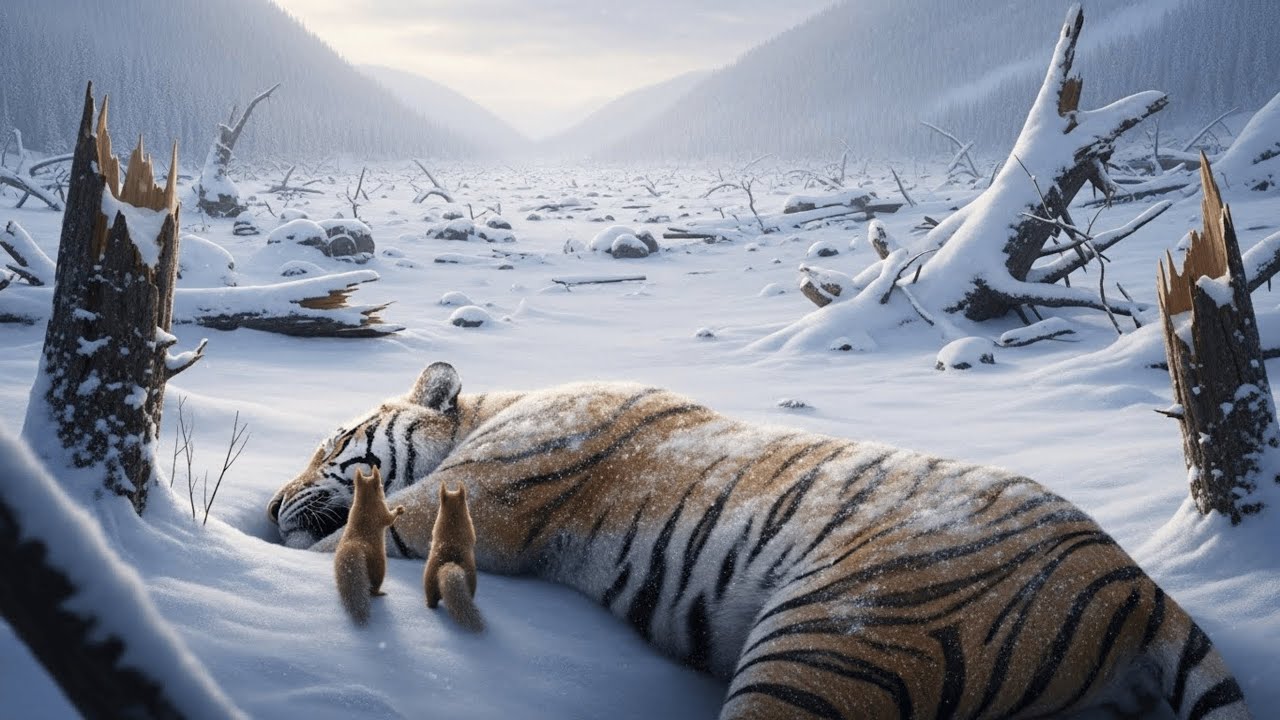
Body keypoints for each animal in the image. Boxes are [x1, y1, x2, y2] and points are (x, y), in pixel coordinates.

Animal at [269, 361, 1250, 720]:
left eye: (332, 441)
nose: (272, 500)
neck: (486, 414)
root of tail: (1133, 578)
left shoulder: (475, 504)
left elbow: (360, 533)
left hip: (832, 644)